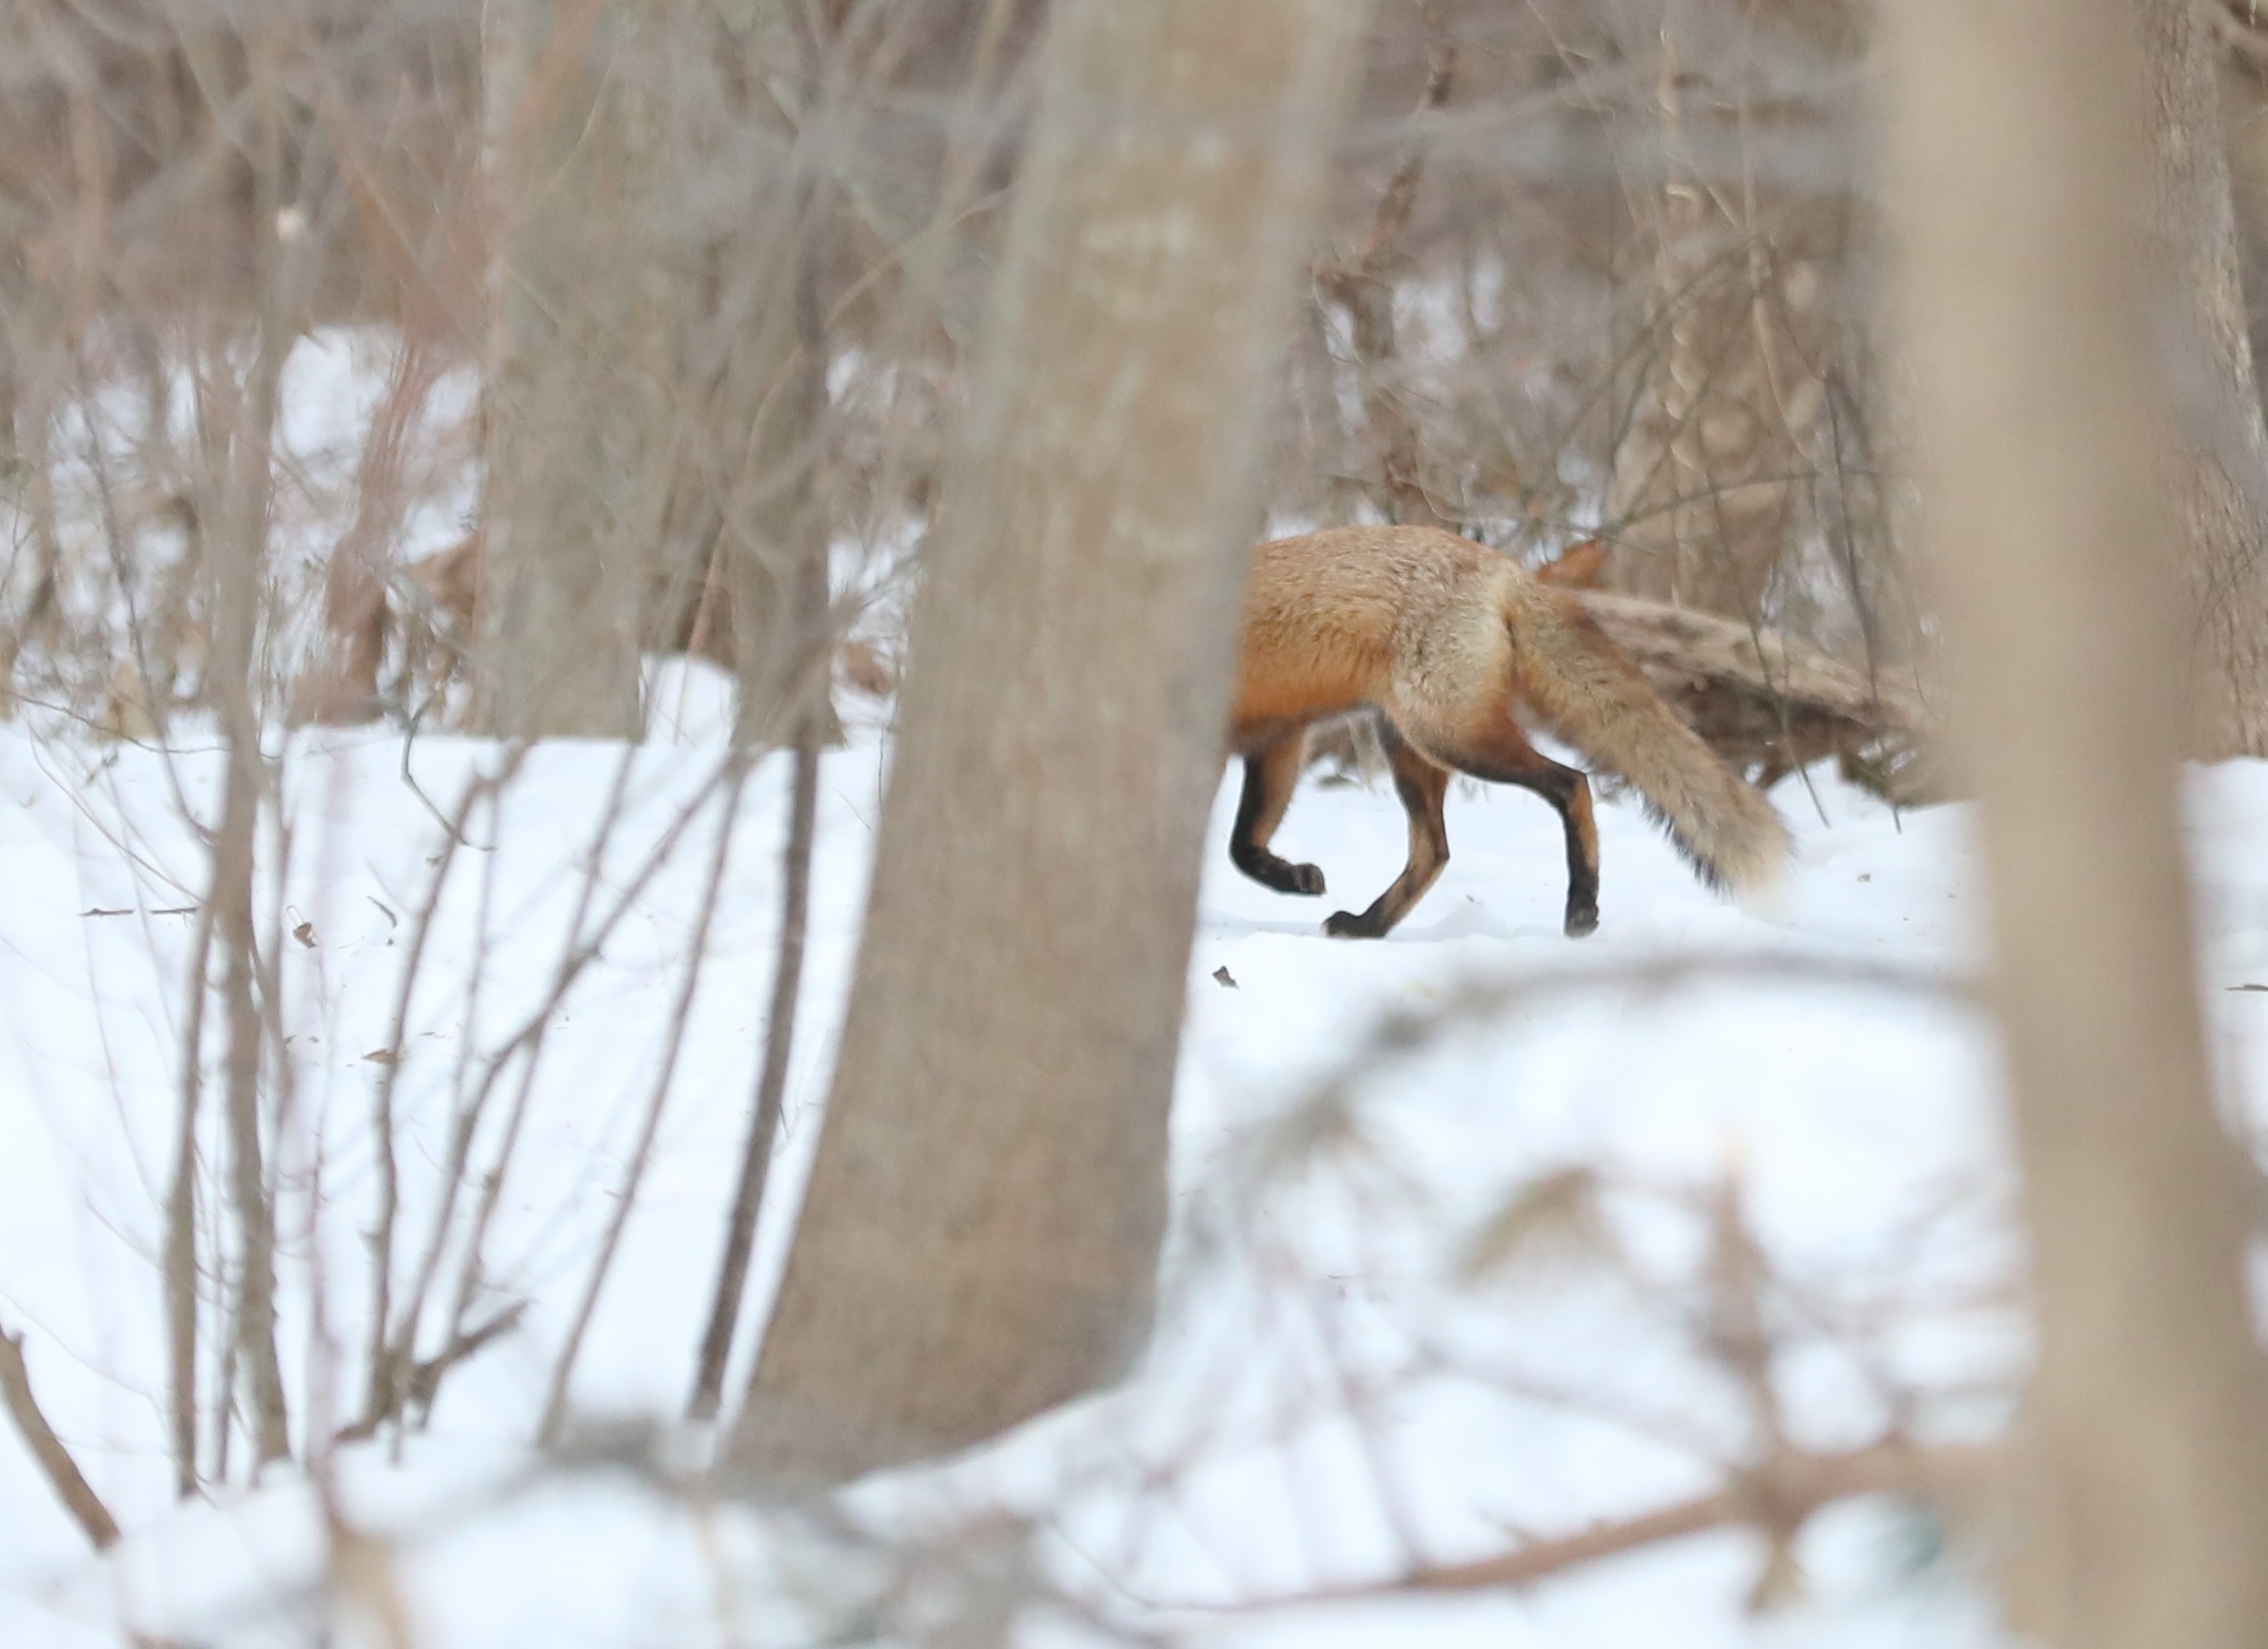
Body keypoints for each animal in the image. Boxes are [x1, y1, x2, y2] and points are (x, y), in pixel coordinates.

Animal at [1228, 525, 1790, 938]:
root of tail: (1503, 566)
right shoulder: (1278, 738)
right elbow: (1242, 848)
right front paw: (1292, 877)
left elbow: (1236, 851)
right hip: (1410, 745)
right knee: (1434, 852)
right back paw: (1369, 926)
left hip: (1449, 735)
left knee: (1571, 783)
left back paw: (1581, 907)